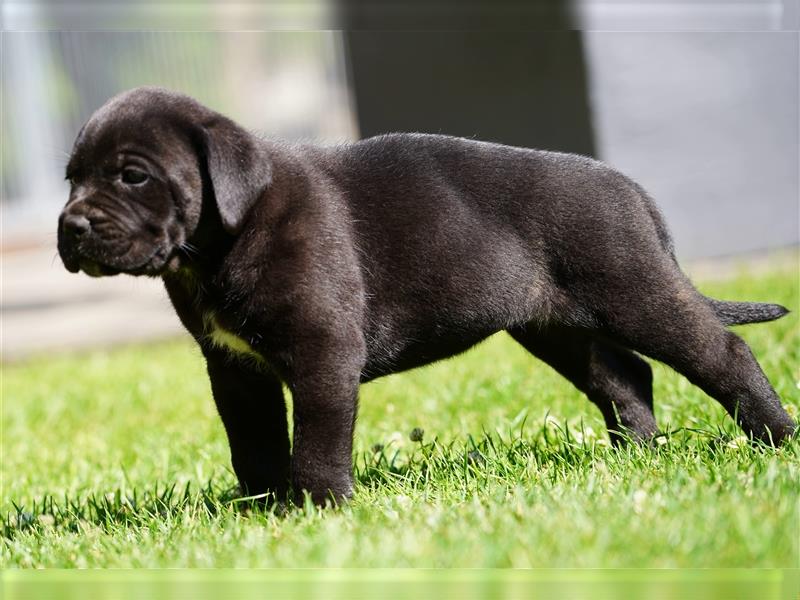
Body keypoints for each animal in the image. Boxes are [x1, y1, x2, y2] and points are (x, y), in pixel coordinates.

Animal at [59, 86, 796, 504]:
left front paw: (319, 508)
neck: (220, 241)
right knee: (625, 377)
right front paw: (260, 510)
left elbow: (317, 438)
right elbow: (253, 440)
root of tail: (631, 188)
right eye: (70, 178)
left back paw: (776, 439)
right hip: (555, 327)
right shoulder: (235, 369)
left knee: (720, 352)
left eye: (132, 176)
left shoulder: (323, 352)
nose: (71, 226)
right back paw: (636, 456)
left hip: (633, 291)